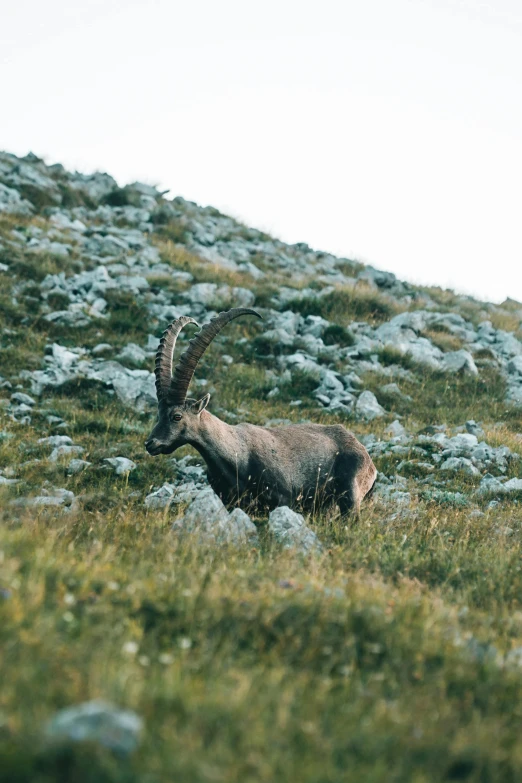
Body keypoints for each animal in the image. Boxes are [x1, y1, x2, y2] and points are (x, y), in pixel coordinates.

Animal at [144, 310, 376, 516]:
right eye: (158, 413)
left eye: (177, 416)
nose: (150, 444)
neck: (236, 453)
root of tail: (367, 457)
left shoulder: (284, 499)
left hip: (350, 494)